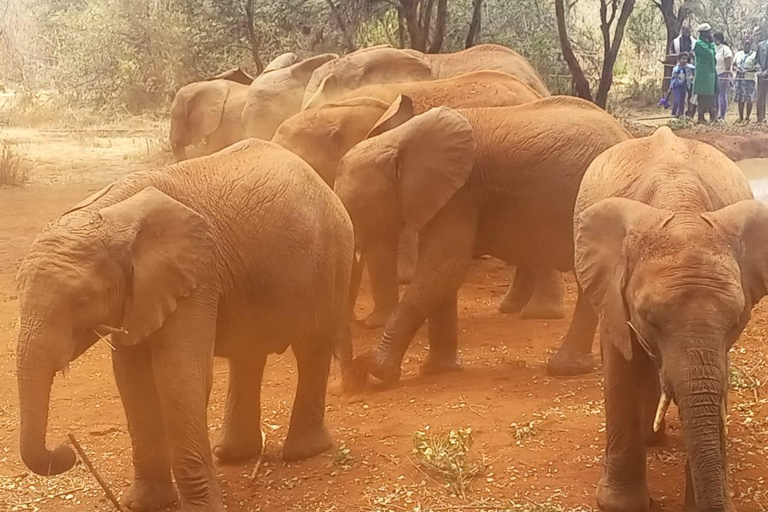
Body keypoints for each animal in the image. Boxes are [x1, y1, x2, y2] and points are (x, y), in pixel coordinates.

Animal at [16, 138, 354, 510]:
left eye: (80, 301)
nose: (66, 450)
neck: (112, 214)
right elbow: (132, 380)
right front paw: (144, 503)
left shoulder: (197, 275)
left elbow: (178, 375)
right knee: (248, 355)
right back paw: (234, 454)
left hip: (334, 254)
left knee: (312, 346)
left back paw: (302, 453)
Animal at [334, 94, 632, 386]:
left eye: (355, 209)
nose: (353, 384)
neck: (398, 139)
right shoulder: (448, 196)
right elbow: (442, 276)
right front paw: (438, 370)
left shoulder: (460, 196)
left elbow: (441, 271)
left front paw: (377, 371)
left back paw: (565, 369)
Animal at [572, 124, 764, 512]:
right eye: (648, 317)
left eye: (737, 319)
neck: (682, 207)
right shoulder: (612, 290)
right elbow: (622, 366)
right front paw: (620, 505)